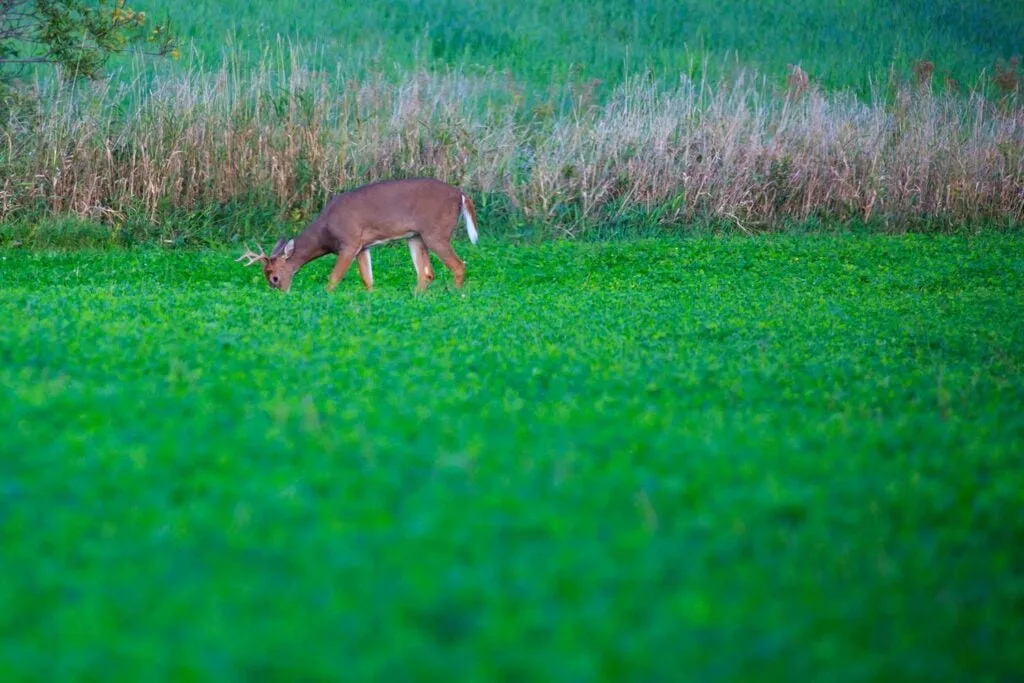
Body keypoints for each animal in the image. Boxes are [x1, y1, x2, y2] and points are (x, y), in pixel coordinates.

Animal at [236, 178, 479, 292]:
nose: (280, 294)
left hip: (435, 233)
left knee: (458, 266)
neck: (326, 231)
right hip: (415, 236)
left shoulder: (349, 242)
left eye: (274, 277)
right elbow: (367, 280)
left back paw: (456, 295)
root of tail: (461, 194)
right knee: (426, 273)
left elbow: (334, 278)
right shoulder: (363, 246)